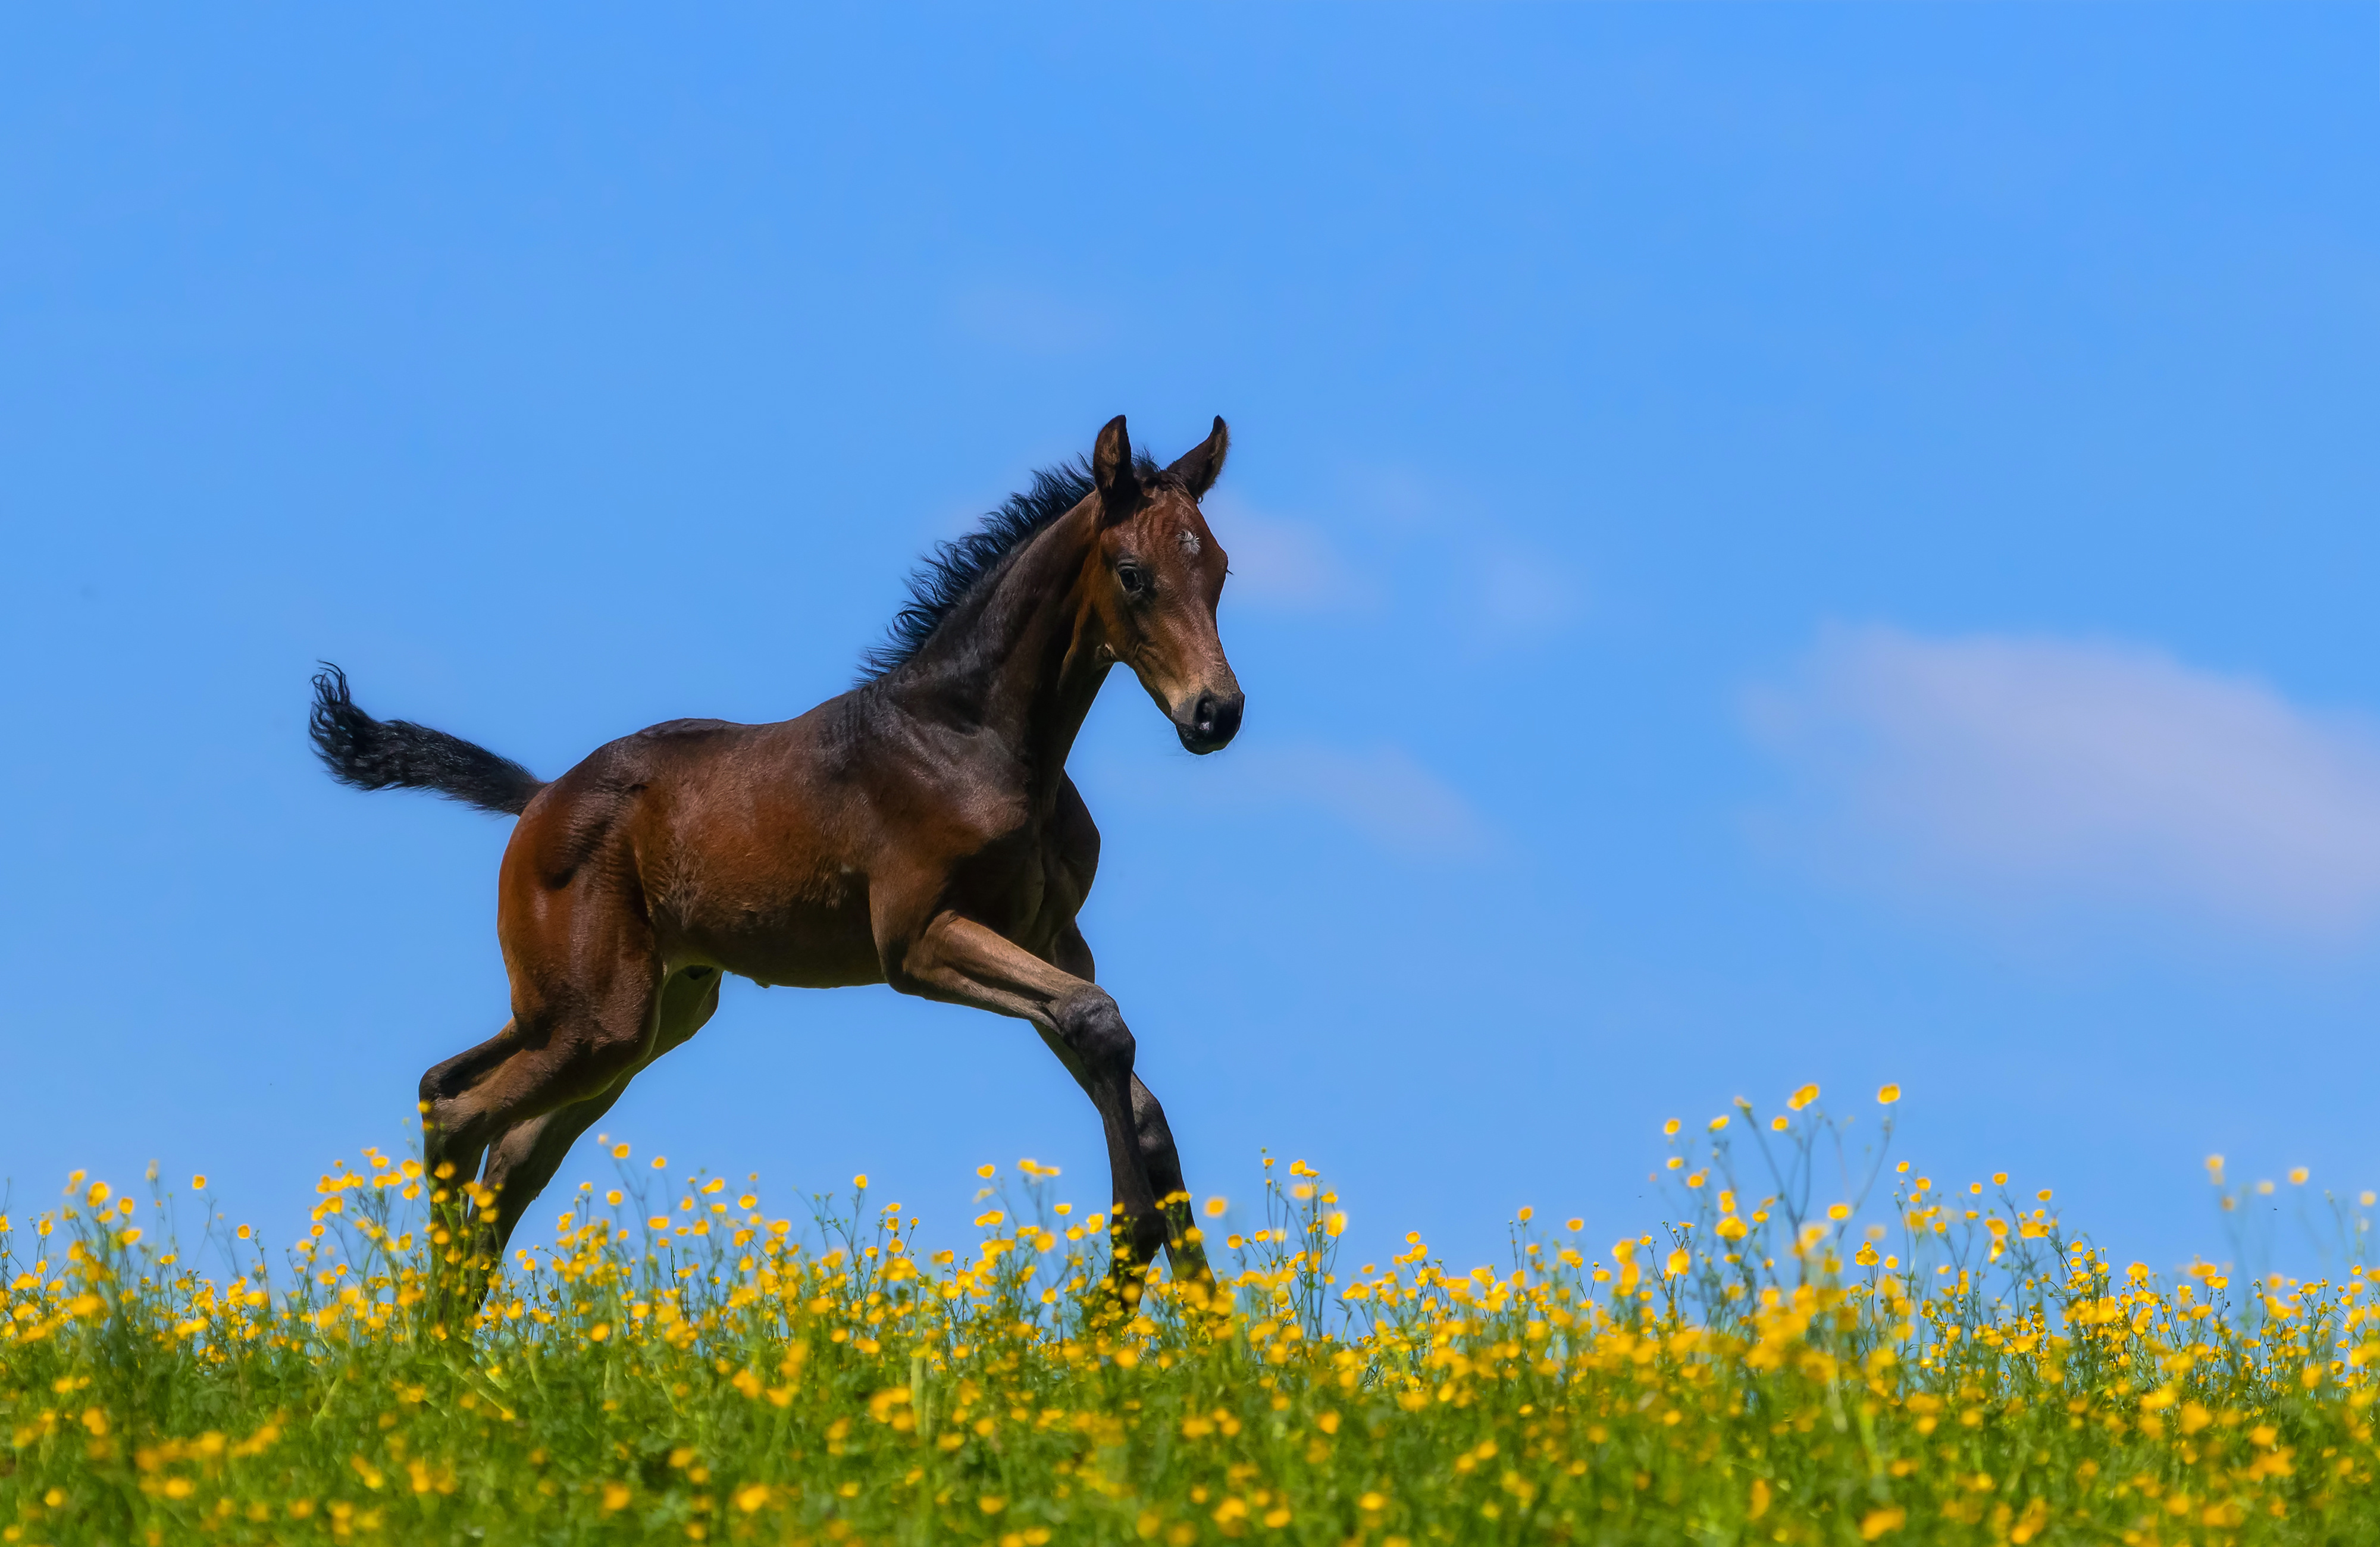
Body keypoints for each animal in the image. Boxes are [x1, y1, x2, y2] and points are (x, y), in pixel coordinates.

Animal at [309, 415, 1241, 1307]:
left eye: (1223, 570)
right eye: (1133, 574)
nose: (1216, 712)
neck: (977, 739)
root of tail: (540, 799)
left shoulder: (1049, 938)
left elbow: (1130, 1085)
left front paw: (1207, 1338)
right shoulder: (920, 941)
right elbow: (1099, 1024)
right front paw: (1123, 1275)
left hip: (628, 1017)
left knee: (497, 1138)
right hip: (594, 1020)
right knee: (458, 1109)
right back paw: (427, 1345)